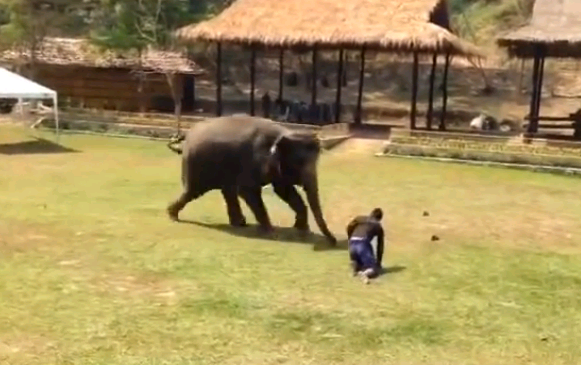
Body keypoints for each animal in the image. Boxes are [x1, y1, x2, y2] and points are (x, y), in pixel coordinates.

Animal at [164, 114, 336, 245]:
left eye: (316, 161)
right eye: (299, 162)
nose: (333, 242)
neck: (285, 133)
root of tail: (188, 135)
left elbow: (284, 190)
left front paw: (302, 230)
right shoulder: (252, 161)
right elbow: (248, 191)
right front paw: (272, 233)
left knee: (227, 191)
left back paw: (240, 224)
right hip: (196, 165)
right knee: (193, 192)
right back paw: (172, 216)